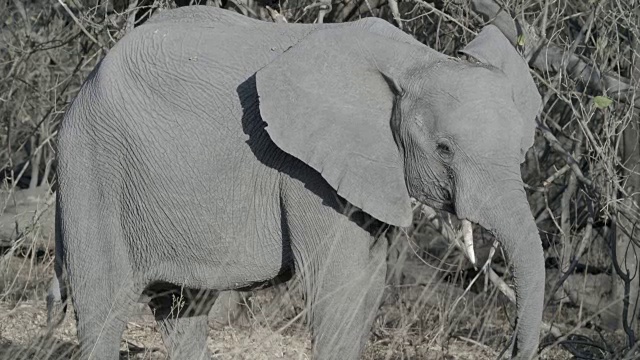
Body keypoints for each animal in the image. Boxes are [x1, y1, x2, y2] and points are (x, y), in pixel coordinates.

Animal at [47, 4, 544, 360]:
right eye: (443, 149)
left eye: (521, 151)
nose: (508, 350)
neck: (416, 60)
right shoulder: (306, 175)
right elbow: (338, 289)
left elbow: (369, 288)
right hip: (91, 166)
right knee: (103, 307)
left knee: (183, 308)